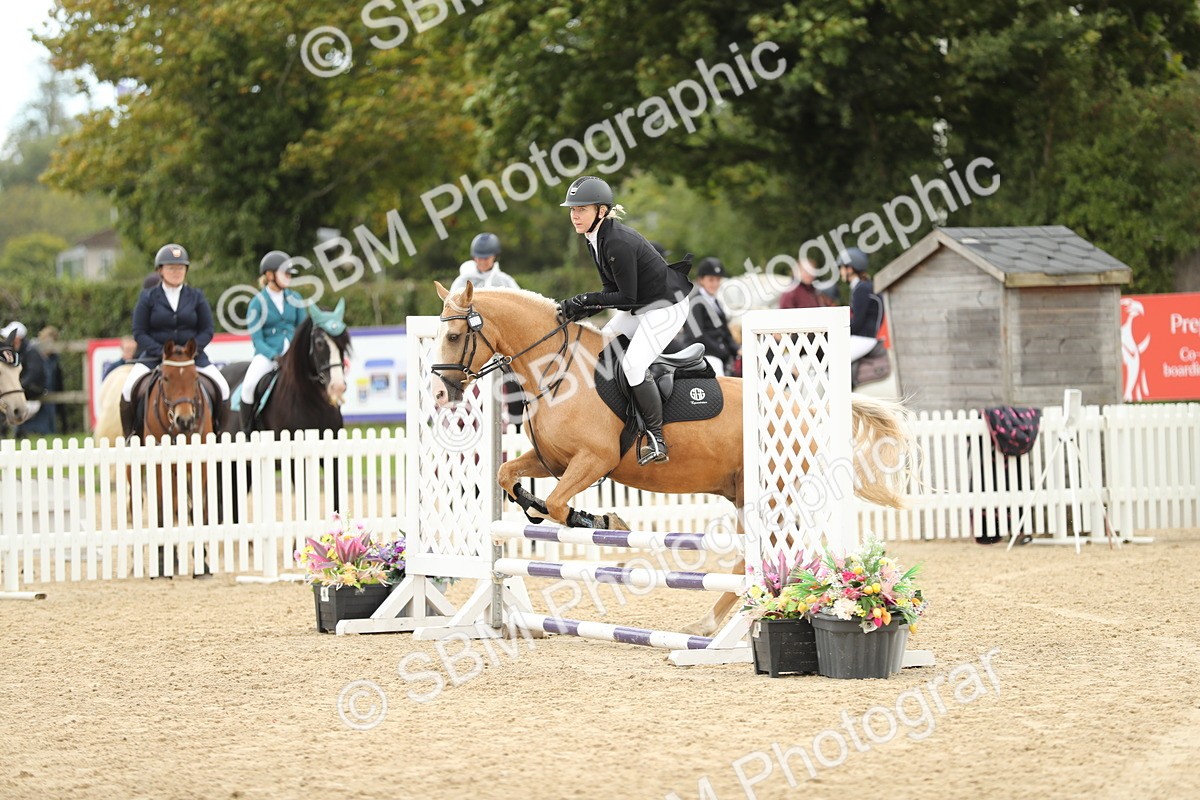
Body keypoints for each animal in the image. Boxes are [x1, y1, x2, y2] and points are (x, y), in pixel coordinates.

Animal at [431, 281, 917, 635]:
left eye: (454, 336)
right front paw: (548, 509)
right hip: (747, 495)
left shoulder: (594, 460)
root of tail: (809, 406)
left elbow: (555, 503)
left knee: (758, 558)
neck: (558, 372)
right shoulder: (552, 460)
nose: (439, 393)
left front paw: (602, 521)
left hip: (766, 495)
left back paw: (712, 625)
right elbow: (507, 475)